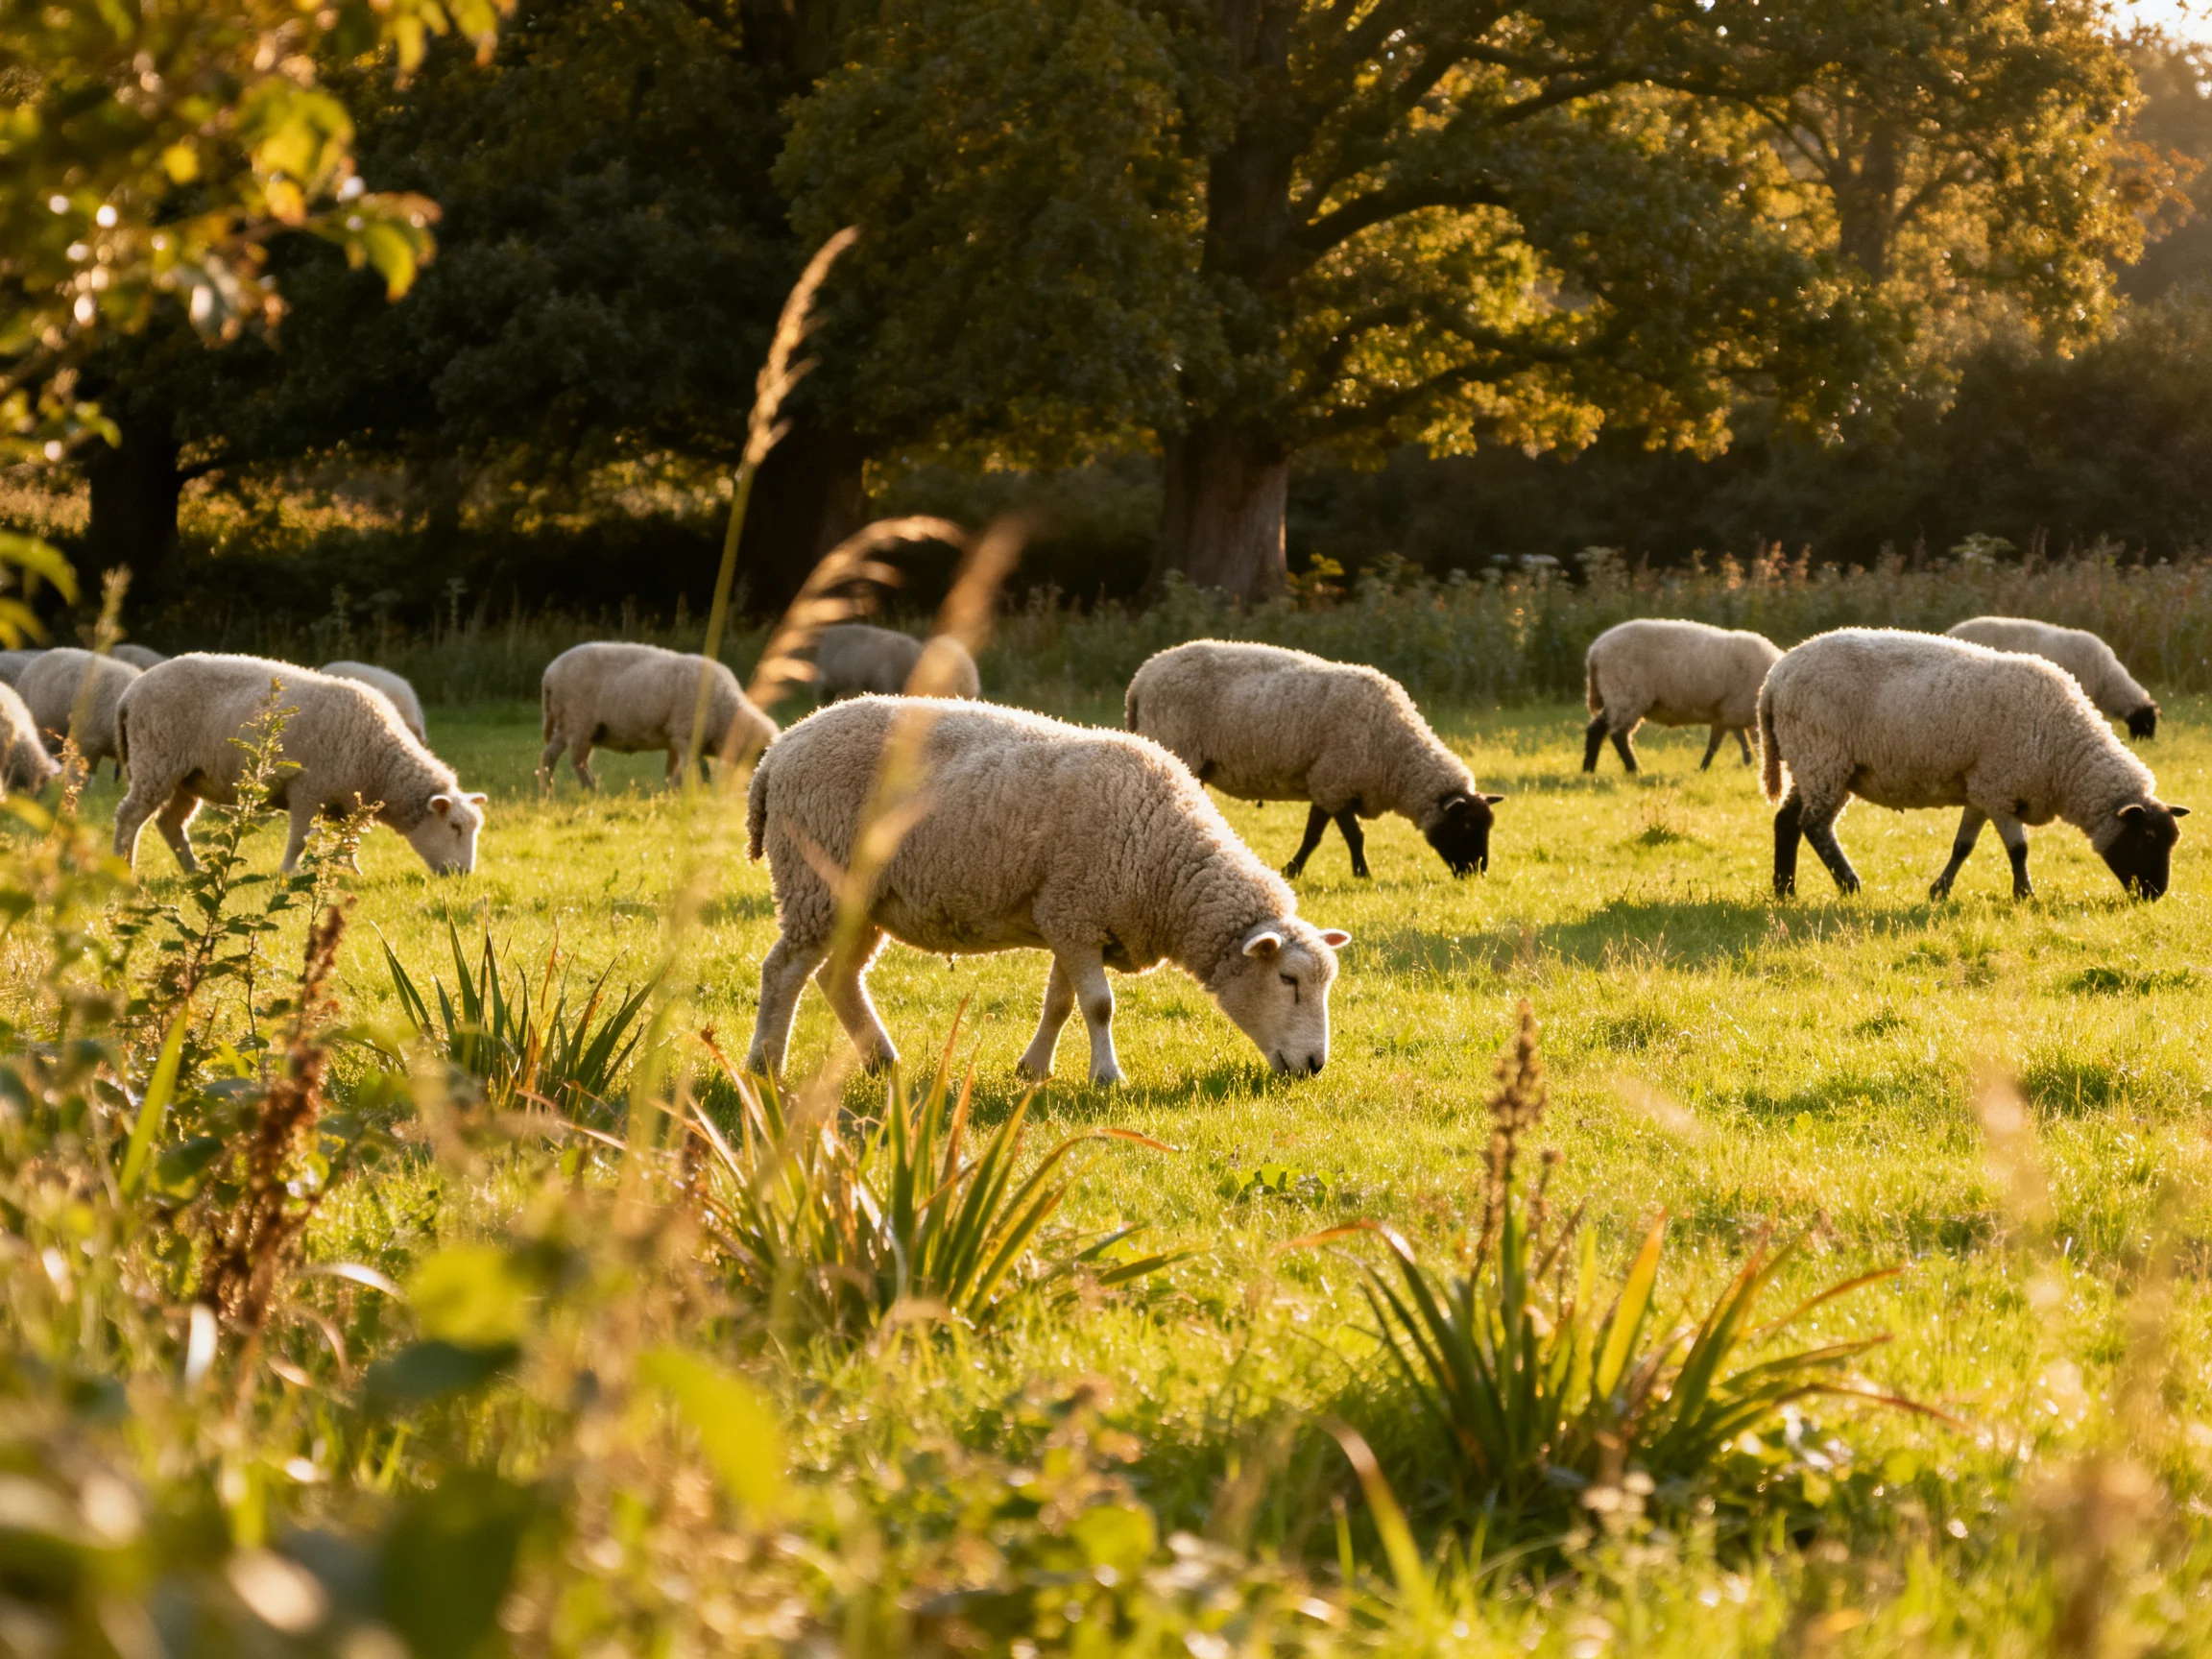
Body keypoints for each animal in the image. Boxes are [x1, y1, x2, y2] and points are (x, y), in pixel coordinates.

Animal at [114, 653, 487, 875]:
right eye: (455, 827)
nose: (463, 875)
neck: (380, 763)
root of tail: (131, 692)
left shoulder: (345, 801)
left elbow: (348, 841)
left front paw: (349, 872)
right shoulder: (308, 789)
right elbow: (300, 840)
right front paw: (286, 873)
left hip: (187, 776)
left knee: (170, 823)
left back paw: (193, 870)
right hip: (156, 761)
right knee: (129, 816)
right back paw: (124, 867)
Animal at [538, 642, 777, 792]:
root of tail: (549, 674)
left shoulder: (674, 739)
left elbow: (675, 771)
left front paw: (671, 793)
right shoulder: (684, 736)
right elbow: (695, 768)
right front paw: (694, 794)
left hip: (565, 724)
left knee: (549, 756)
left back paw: (547, 793)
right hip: (579, 722)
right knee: (577, 762)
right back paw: (591, 789)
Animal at [744, 696, 1352, 1085]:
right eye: (1288, 979)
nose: (1315, 1066)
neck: (1165, 861)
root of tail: (778, 752)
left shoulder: (1069, 916)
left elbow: (1061, 1002)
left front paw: (1033, 1069)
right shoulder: (1075, 914)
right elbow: (1100, 1005)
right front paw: (1107, 1077)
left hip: (864, 900)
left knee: (837, 977)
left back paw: (881, 1060)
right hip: (817, 882)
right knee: (784, 972)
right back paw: (765, 1065)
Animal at [1124, 640, 1501, 880]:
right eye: (1467, 827)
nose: (1478, 873)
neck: (1396, 754)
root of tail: (1142, 677)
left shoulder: (1327, 784)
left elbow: (1323, 834)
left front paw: (1300, 870)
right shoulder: (1332, 781)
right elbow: (1346, 836)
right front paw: (1358, 874)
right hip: (1175, 745)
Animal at [1583, 619, 1782, 773]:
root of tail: (1595, 650)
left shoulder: (1728, 713)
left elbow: (1739, 740)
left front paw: (1747, 764)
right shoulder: (1732, 710)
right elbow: (1718, 744)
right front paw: (1703, 768)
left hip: (1617, 698)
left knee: (1596, 729)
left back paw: (1589, 770)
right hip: (1627, 695)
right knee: (1619, 735)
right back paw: (1634, 769)